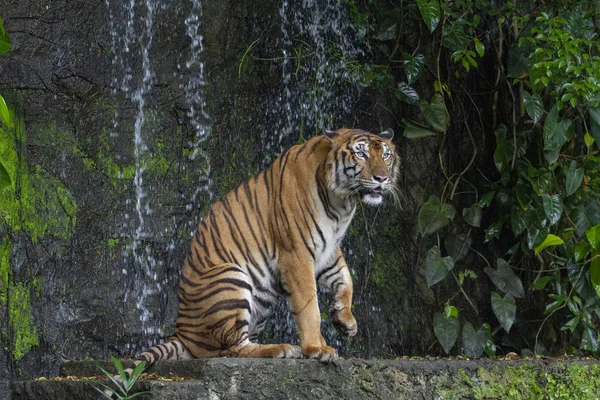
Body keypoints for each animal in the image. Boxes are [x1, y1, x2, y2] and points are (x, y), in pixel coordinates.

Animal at [121, 128, 396, 376]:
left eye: (386, 155)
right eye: (360, 154)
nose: (382, 178)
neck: (342, 203)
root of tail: (182, 333)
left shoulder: (328, 250)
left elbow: (346, 279)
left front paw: (345, 321)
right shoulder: (297, 253)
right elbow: (310, 306)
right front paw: (316, 348)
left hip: (261, 300)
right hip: (231, 277)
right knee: (230, 349)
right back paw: (282, 349)